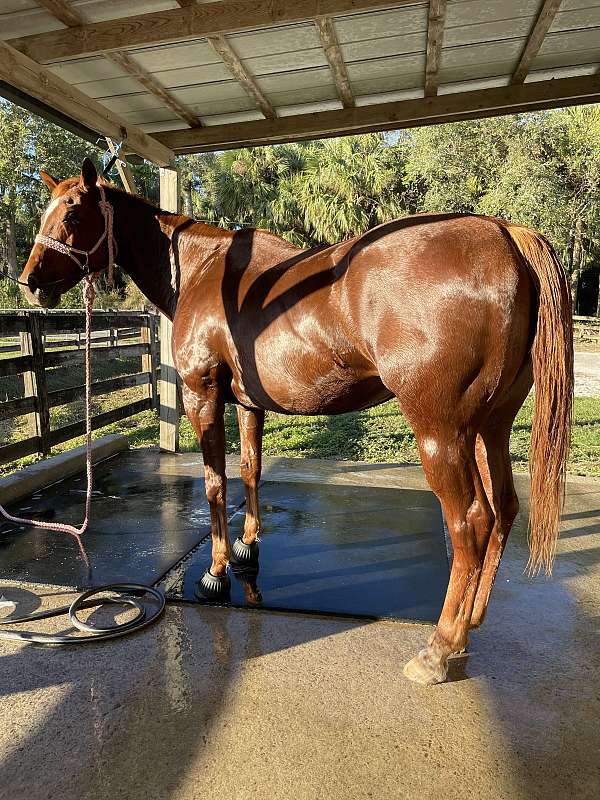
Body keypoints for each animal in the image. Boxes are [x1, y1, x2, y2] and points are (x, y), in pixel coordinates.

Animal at [18, 159, 572, 684]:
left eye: (72, 213)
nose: (29, 283)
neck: (202, 270)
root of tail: (504, 233)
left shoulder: (202, 397)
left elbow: (215, 483)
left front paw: (215, 571)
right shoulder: (248, 404)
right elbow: (250, 470)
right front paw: (247, 547)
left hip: (441, 433)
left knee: (470, 521)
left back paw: (441, 647)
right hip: (489, 428)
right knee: (504, 508)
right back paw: (472, 618)